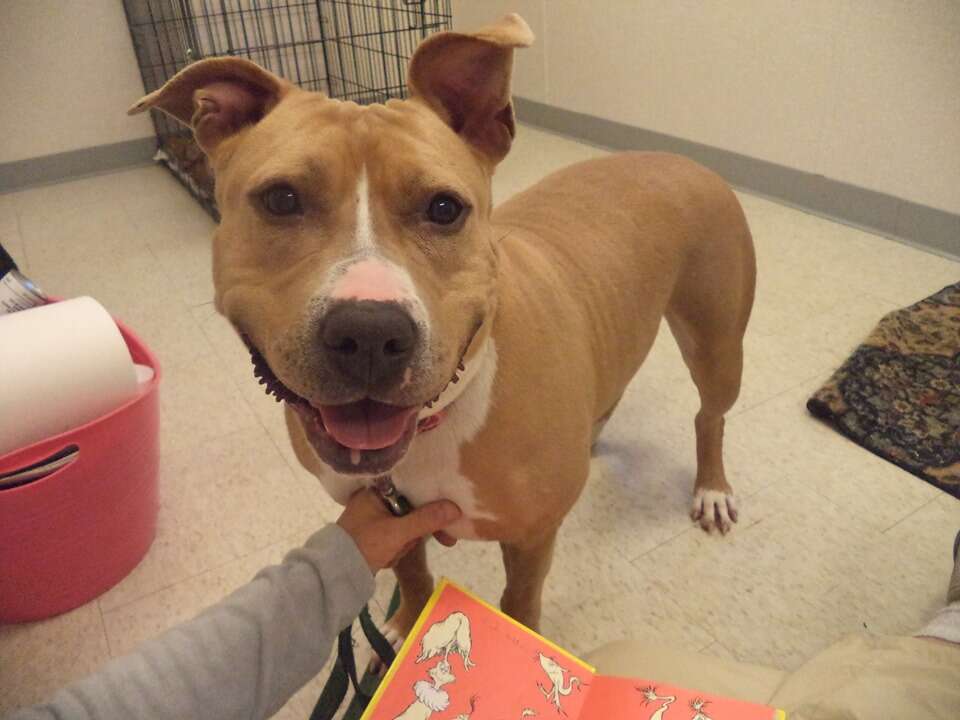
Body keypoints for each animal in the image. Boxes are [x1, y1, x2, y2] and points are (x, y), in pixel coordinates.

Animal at [129, 14, 756, 636]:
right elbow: (412, 571)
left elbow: (519, 602)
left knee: (710, 416)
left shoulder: (532, 536)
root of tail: (674, 156)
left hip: (717, 343)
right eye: (281, 199)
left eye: (445, 208)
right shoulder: (384, 516)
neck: (435, 426)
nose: (369, 333)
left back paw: (711, 488)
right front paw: (407, 620)